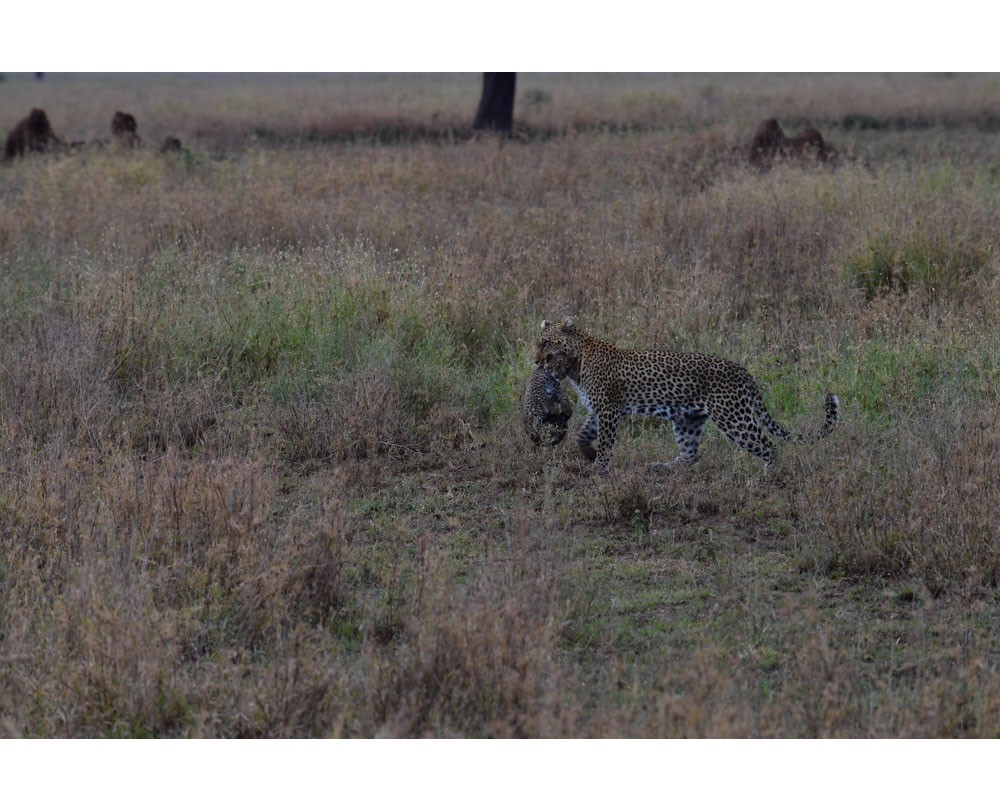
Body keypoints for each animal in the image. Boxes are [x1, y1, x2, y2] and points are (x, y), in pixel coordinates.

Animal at [536, 314, 840, 472]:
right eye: (538, 343)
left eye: (546, 343)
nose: (536, 361)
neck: (576, 363)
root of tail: (743, 371)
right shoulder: (601, 409)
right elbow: (584, 433)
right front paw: (588, 453)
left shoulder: (609, 409)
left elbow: (607, 441)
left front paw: (599, 467)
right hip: (688, 419)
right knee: (691, 453)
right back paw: (662, 467)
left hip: (733, 418)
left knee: (768, 446)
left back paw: (767, 476)